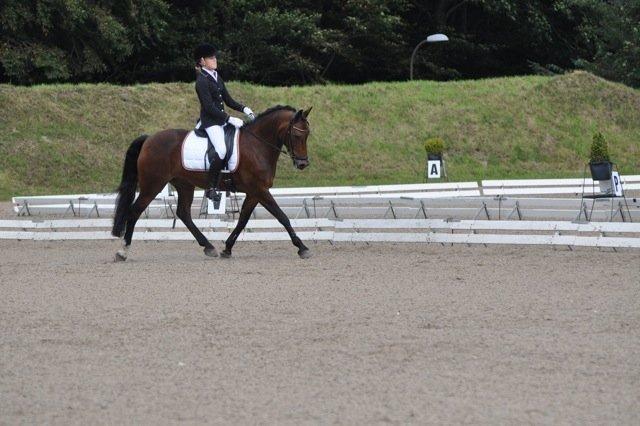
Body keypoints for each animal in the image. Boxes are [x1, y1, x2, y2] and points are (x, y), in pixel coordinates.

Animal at [111, 105, 312, 261]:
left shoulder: (254, 192)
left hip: (184, 184)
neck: (257, 145)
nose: (303, 164)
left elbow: (243, 220)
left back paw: (208, 247)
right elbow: (282, 216)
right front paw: (302, 248)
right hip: (153, 185)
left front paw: (227, 248)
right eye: (296, 135)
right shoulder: (260, 190)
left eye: (307, 134)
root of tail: (149, 139)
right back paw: (122, 251)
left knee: (183, 213)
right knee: (135, 211)